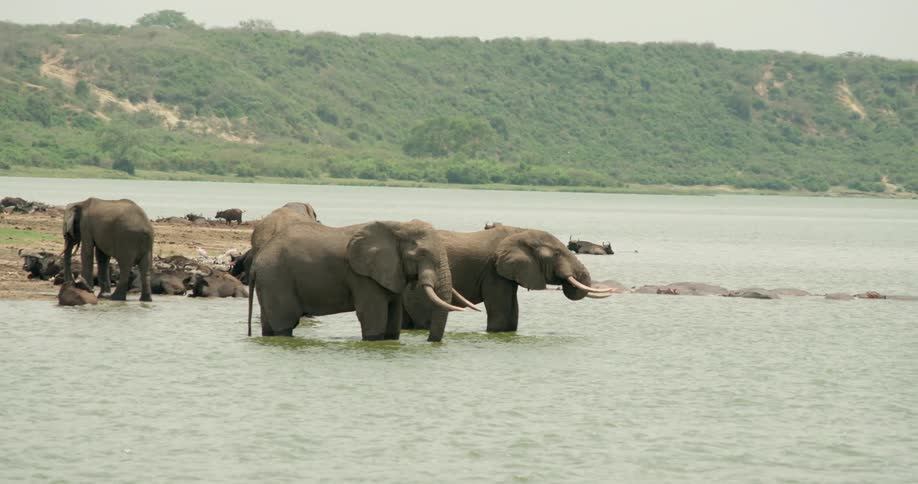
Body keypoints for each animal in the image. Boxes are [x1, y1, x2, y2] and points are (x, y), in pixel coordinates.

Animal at [249, 220, 469, 341]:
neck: (397, 226)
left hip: (269, 281)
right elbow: (372, 314)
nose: (429, 341)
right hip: (277, 277)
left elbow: (393, 315)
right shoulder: (362, 275)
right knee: (285, 322)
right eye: (421, 254)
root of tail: (256, 262)